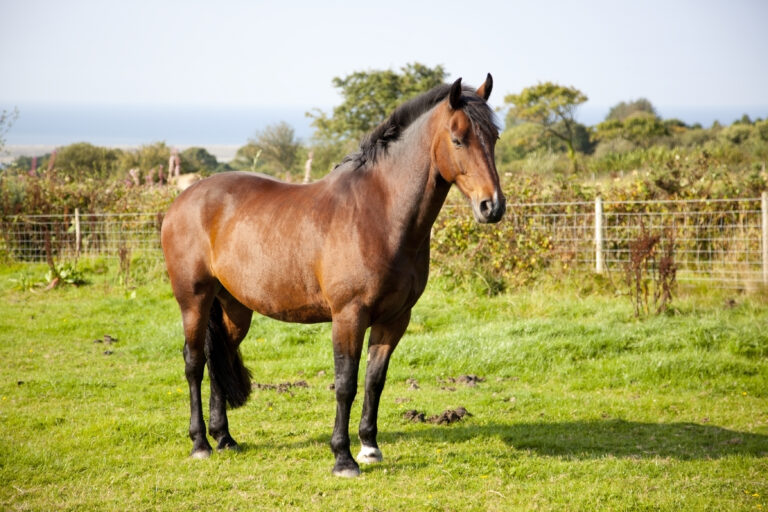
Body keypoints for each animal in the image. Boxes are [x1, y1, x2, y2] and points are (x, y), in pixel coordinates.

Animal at [160, 74, 505, 477]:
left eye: (494, 137)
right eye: (457, 138)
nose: (492, 206)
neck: (379, 214)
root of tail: (184, 199)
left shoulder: (394, 319)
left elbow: (374, 381)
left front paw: (370, 447)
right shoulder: (348, 316)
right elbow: (345, 384)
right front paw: (343, 458)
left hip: (234, 307)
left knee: (219, 359)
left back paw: (225, 438)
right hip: (194, 300)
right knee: (194, 362)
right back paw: (200, 443)